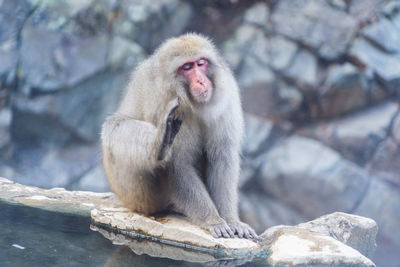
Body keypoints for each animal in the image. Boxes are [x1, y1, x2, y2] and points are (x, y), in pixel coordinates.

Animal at [101, 32, 258, 240]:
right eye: (187, 68)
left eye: (201, 63)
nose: (201, 81)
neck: (193, 103)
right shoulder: (166, 103)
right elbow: (179, 166)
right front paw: (213, 220)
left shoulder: (227, 99)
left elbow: (222, 158)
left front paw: (231, 220)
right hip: (137, 196)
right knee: (113, 127)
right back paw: (159, 145)